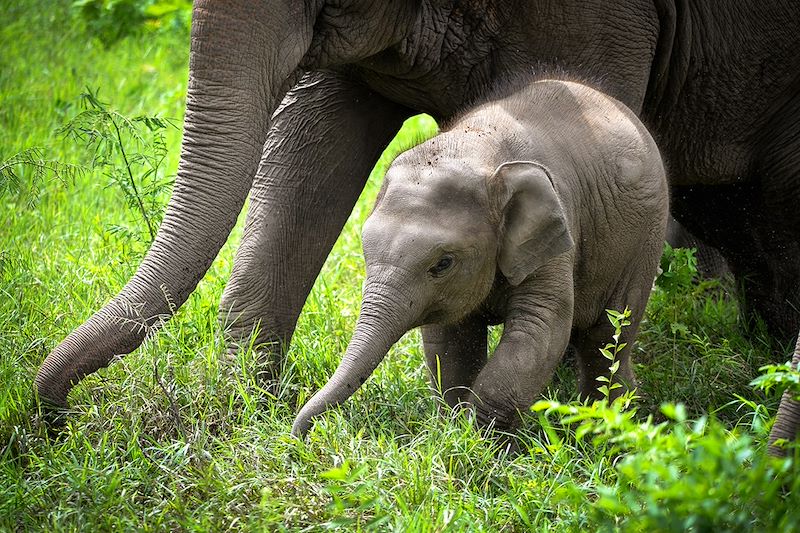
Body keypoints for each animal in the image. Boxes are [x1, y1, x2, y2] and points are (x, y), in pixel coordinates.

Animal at [294, 79, 668, 436]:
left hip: (645, 239)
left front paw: (481, 440)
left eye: (442, 264)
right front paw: (457, 426)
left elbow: (540, 328)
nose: (300, 434)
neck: (477, 149)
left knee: (607, 335)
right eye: (365, 249)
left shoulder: (558, 230)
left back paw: (607, 424)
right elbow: (449, 339)